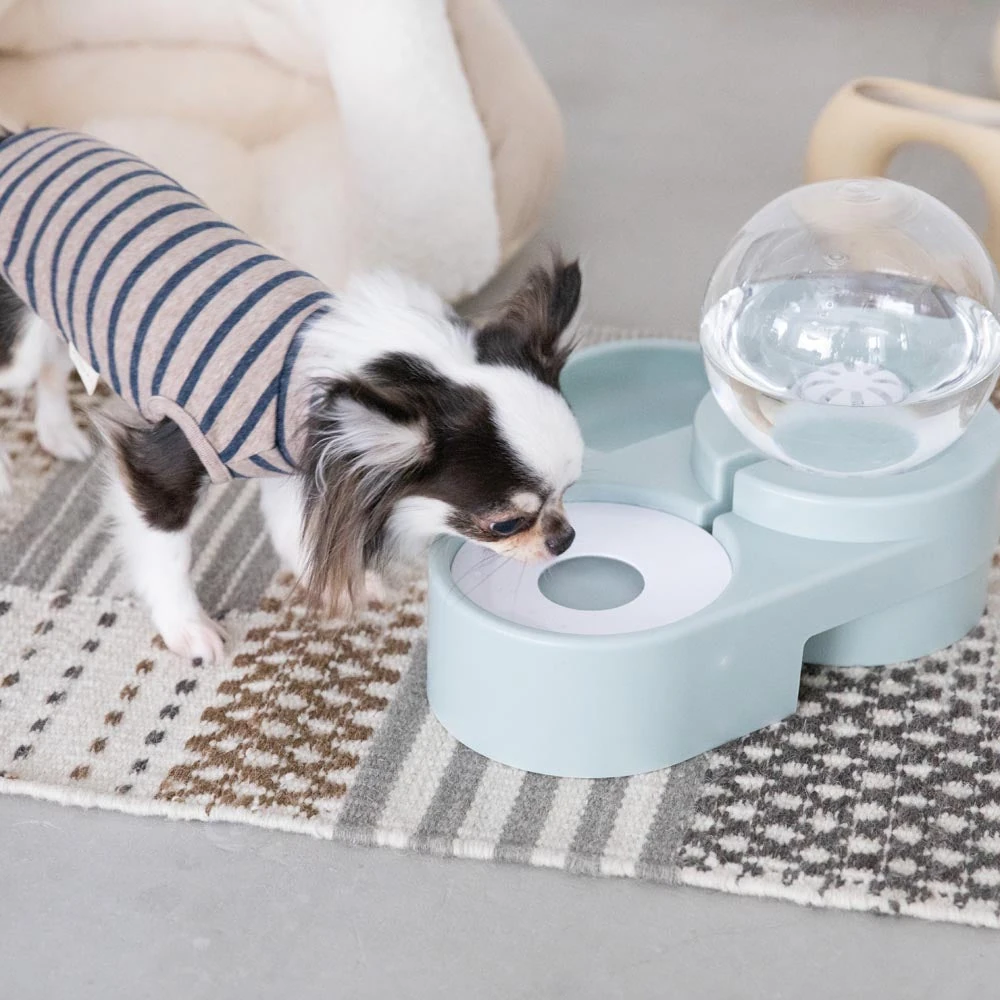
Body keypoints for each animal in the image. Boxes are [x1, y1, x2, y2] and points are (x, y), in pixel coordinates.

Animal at [0, 126, 585, 664]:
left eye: (572, 490)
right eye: (504, 524)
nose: (565, 539)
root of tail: (16, 138)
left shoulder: (306, 458)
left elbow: (296, 525)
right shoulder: (158, 461)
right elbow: (167, 553)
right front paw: (187, 628)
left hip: (58, 320)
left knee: (51, 367)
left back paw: (58, 433)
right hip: (14, 348)